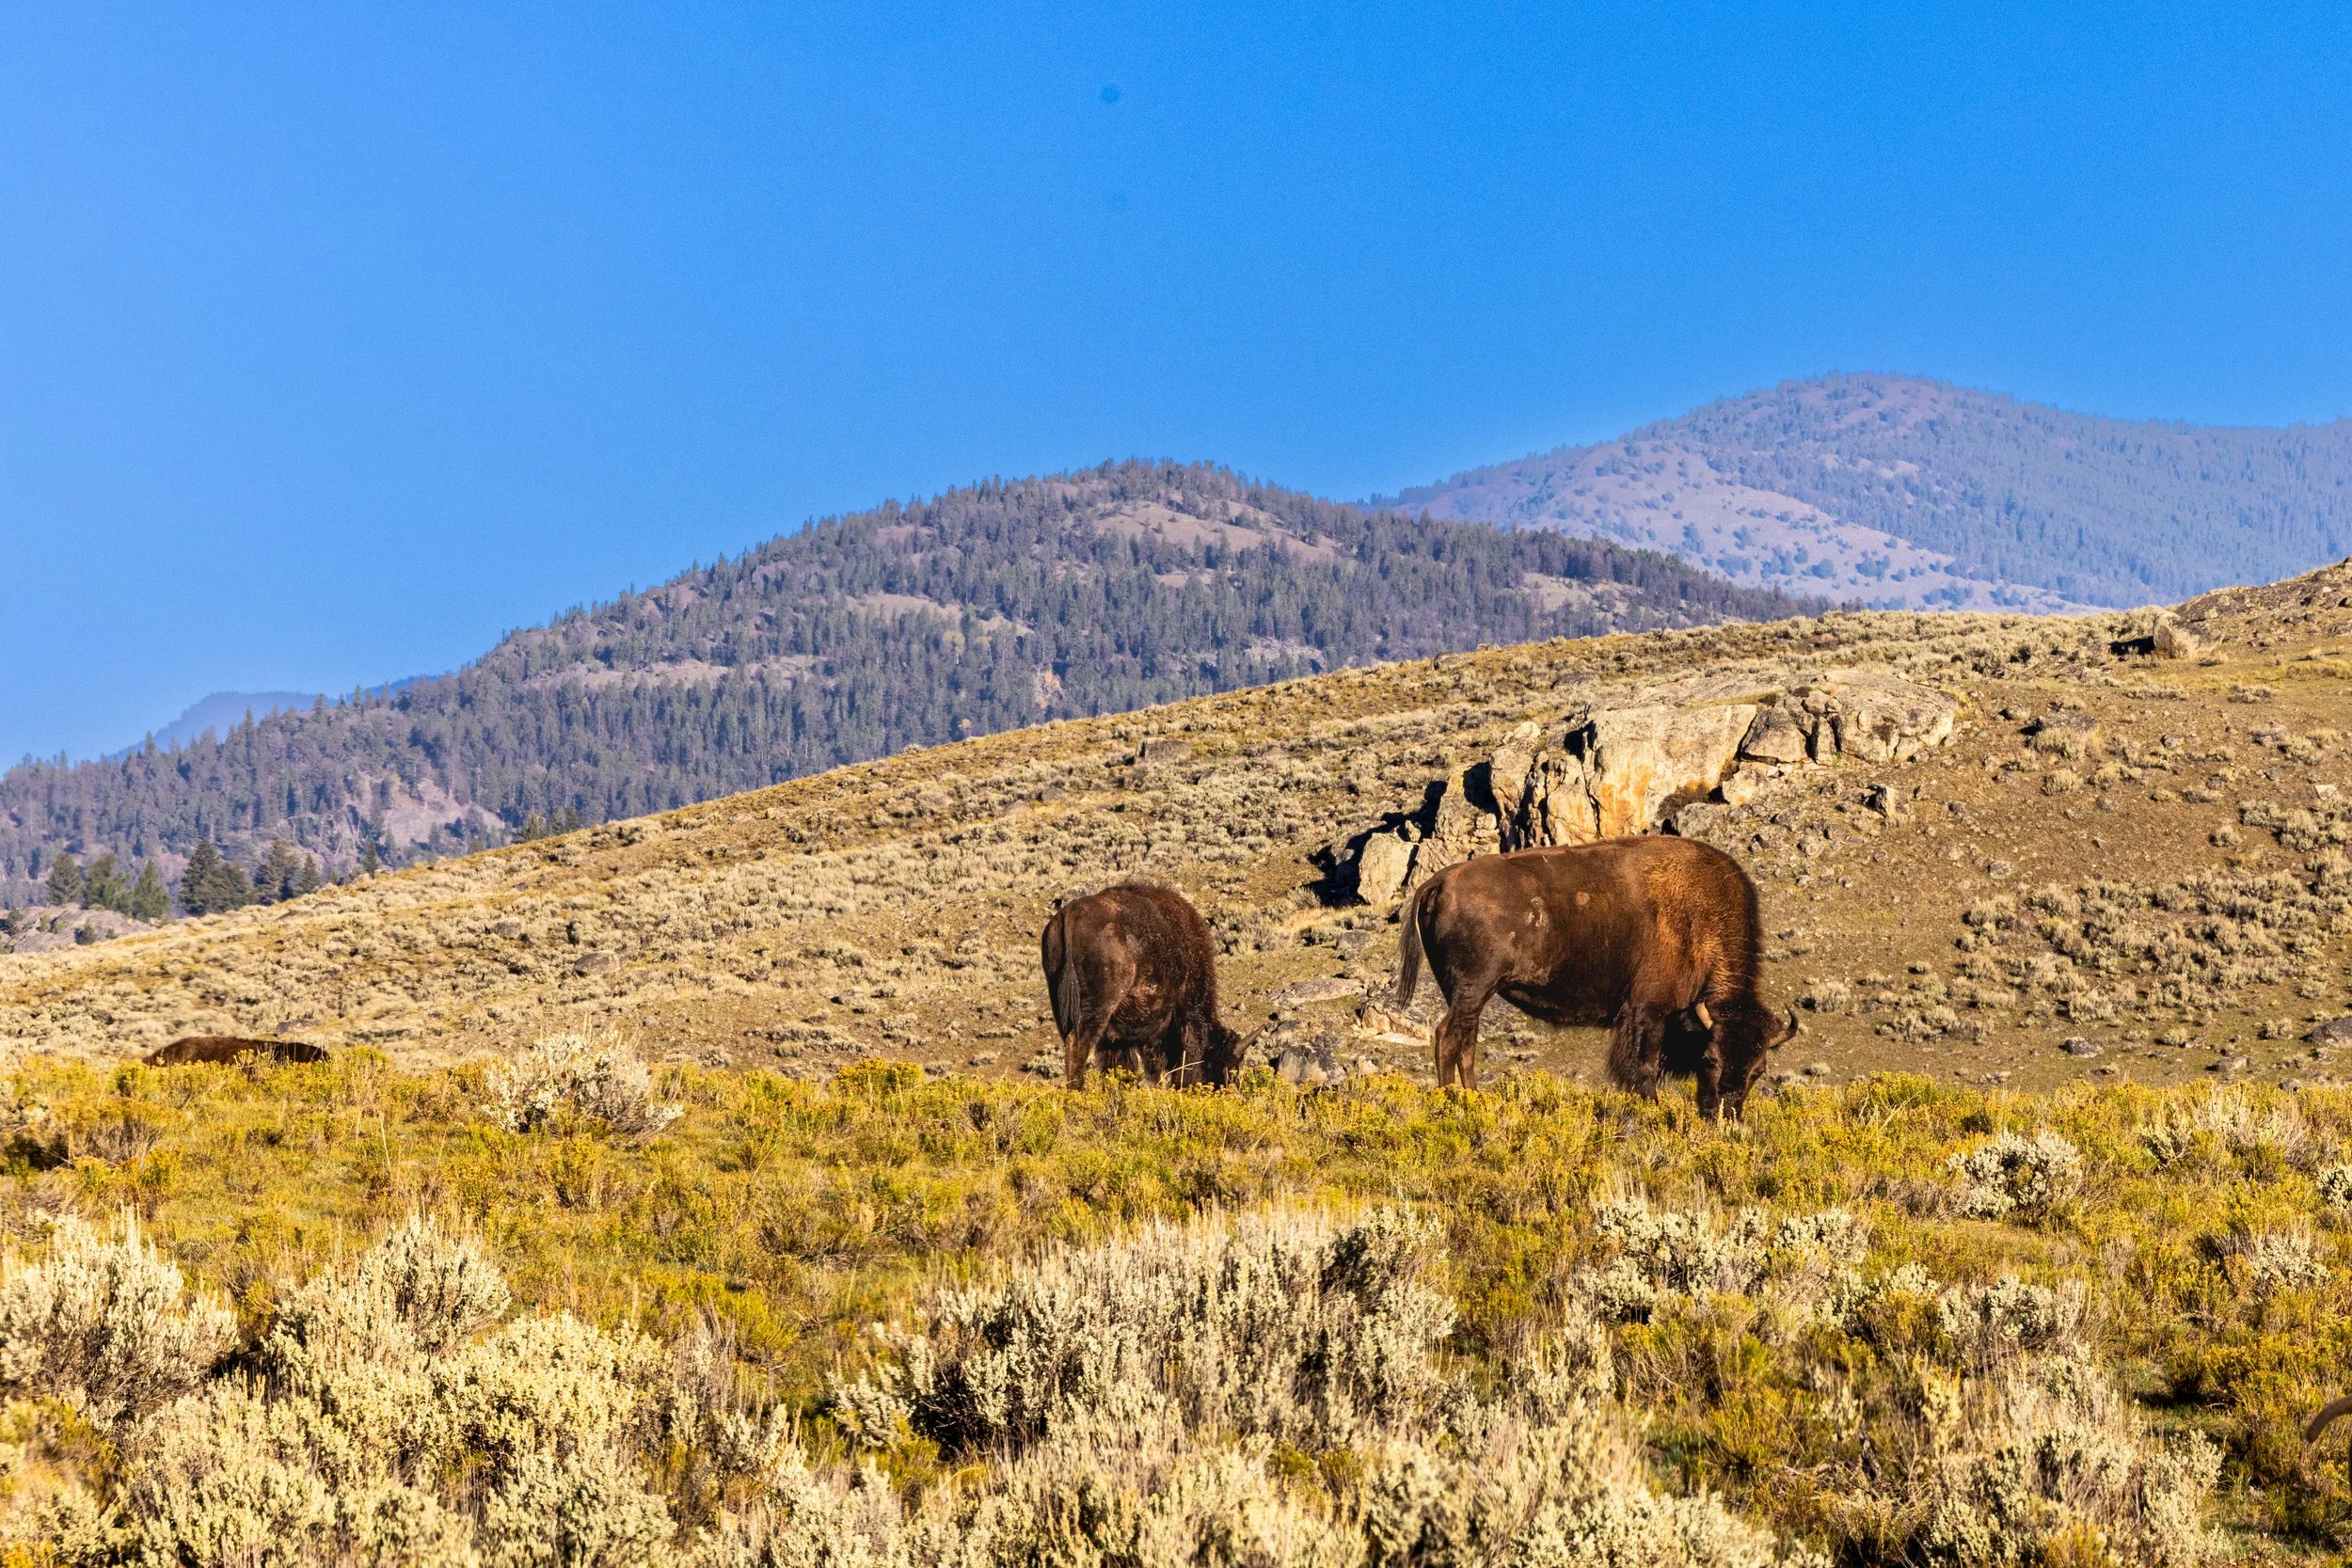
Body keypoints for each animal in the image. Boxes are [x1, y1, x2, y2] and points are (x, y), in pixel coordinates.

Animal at [1395, 836, 1796, 1114]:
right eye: (1710, 1058)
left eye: (1759, 1070)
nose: (1722, 1114)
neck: (1698, 921)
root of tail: (1441, 881)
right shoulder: (1648, 1010)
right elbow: (1644, 1067)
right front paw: (1651, 1109)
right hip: (1473, 989)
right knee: (1448, 1037)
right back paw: (1453, 1101)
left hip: (1470, 995)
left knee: (1466, 1042)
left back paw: (1474, 1097)